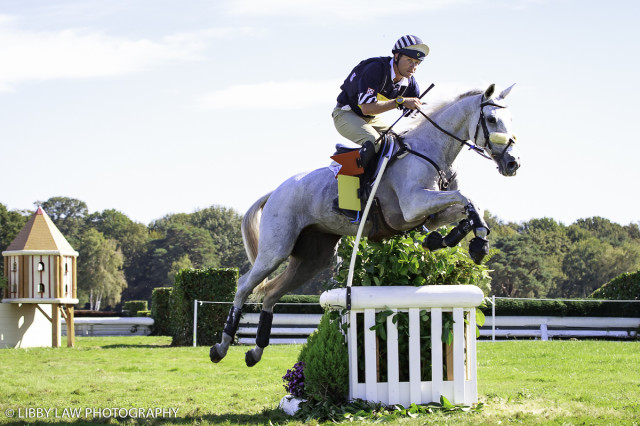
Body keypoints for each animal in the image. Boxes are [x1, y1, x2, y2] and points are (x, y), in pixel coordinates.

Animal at [210, 82, 520, 366]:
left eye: (511, 118)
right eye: (492, 119)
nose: (513, 163)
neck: (431, 150)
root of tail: (276, 191)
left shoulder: (428, 214)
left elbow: (468, 207)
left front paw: (456, 239)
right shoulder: (413, 205)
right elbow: (466, 198)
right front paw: (478, 243)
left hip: (313, 259)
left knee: (271, 294)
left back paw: (255, 351)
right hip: (276, 250)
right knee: (245, 286)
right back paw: (221, 347)